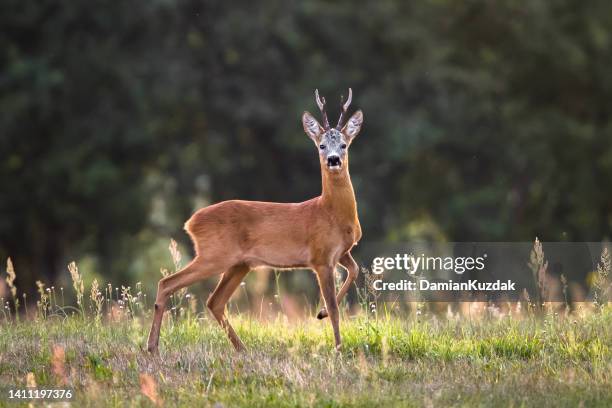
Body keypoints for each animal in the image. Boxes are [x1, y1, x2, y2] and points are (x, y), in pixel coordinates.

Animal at [148, 88, 364, 354]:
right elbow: (334, 306)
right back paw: (152, 347)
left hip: (240, 264)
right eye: (322, 145)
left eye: (344, 144)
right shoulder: (321, 257)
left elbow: (355, 270)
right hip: (214, 255)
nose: (333, 159)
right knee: (167, 283)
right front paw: (338, 348)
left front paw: (321, 314)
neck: (332, 212)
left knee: (214, 301)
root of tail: (191, 222)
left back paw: (241, 348)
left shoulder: (341, 252)